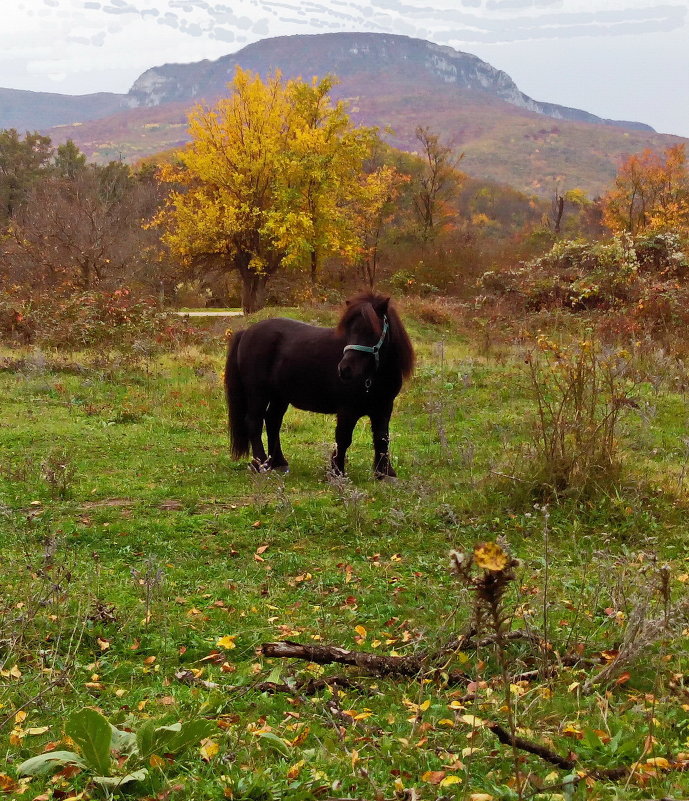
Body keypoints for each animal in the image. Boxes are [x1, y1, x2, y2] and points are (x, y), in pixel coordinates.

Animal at [224, 296, 414, 478]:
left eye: (372, 330)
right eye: (350, 330)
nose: (345, 369)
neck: (373, 375)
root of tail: (246, 332)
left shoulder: (384, 407)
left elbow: (382, 437)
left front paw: (385, 472)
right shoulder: (347, 409)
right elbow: (343, 439)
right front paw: (337, 472)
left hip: (280, 396)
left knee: (273, 421)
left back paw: (278, 463)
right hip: (258, 393)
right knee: (254, 422)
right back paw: (261, 464)